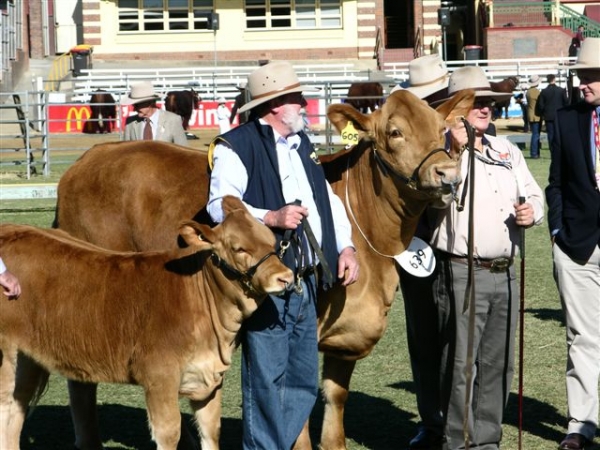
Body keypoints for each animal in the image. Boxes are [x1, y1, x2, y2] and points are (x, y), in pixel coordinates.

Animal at [0, 197, 292, 450]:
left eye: (272, 242)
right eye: (239, 248)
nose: (286, 277)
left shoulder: (209, 378)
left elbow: (211, 431)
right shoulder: (159, 377)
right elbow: (169, 432)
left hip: (26, 360)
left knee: (16, 407)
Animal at [54, 89, 474, 450]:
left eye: (441, 129)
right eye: (395, 132)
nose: (447, 174)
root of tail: (88, 161)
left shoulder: (347, 332)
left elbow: (335, 395)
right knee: (80, 381)